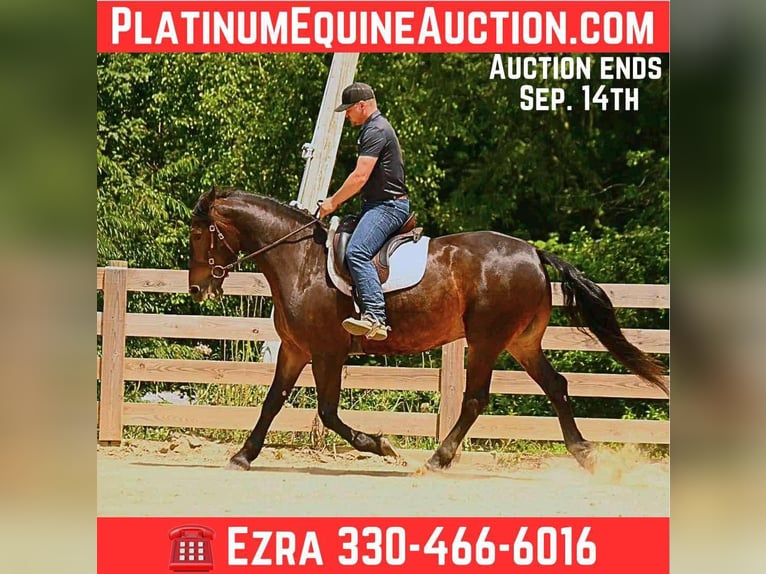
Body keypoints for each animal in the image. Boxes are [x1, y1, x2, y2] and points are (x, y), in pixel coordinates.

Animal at [188, 187, 668, 472]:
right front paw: (243, 455)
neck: (301, 262)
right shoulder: (294, 349)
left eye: (198, 234)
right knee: (556, 386)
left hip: (486, 340)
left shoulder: (326, 353)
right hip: (522, 342)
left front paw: (381, 446)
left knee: (475, 399)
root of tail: (533, 251)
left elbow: (327, 412)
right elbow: (272, 402)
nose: (197, 288)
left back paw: (438, 458)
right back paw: (584, 453)